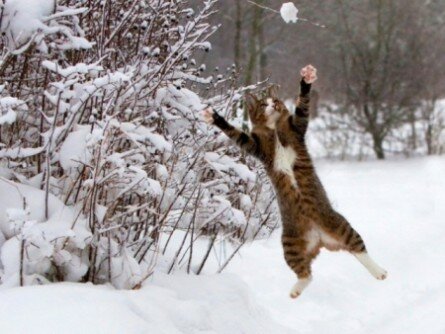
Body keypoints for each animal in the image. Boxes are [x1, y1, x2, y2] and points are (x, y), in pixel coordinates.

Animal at [201, 64, 386, 298]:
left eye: (275, 100)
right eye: (263, 104)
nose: (273, 104)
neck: (274, 129)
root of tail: (320, 240)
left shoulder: (297, 127)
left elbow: (303, 106)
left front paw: (306, 79)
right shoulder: (256, 146)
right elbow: (236, 134)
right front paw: (215, 117)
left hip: (340, 225)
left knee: (359, 250)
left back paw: (380, 271)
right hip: (290, 246)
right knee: (306, 273)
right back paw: (295, 291)